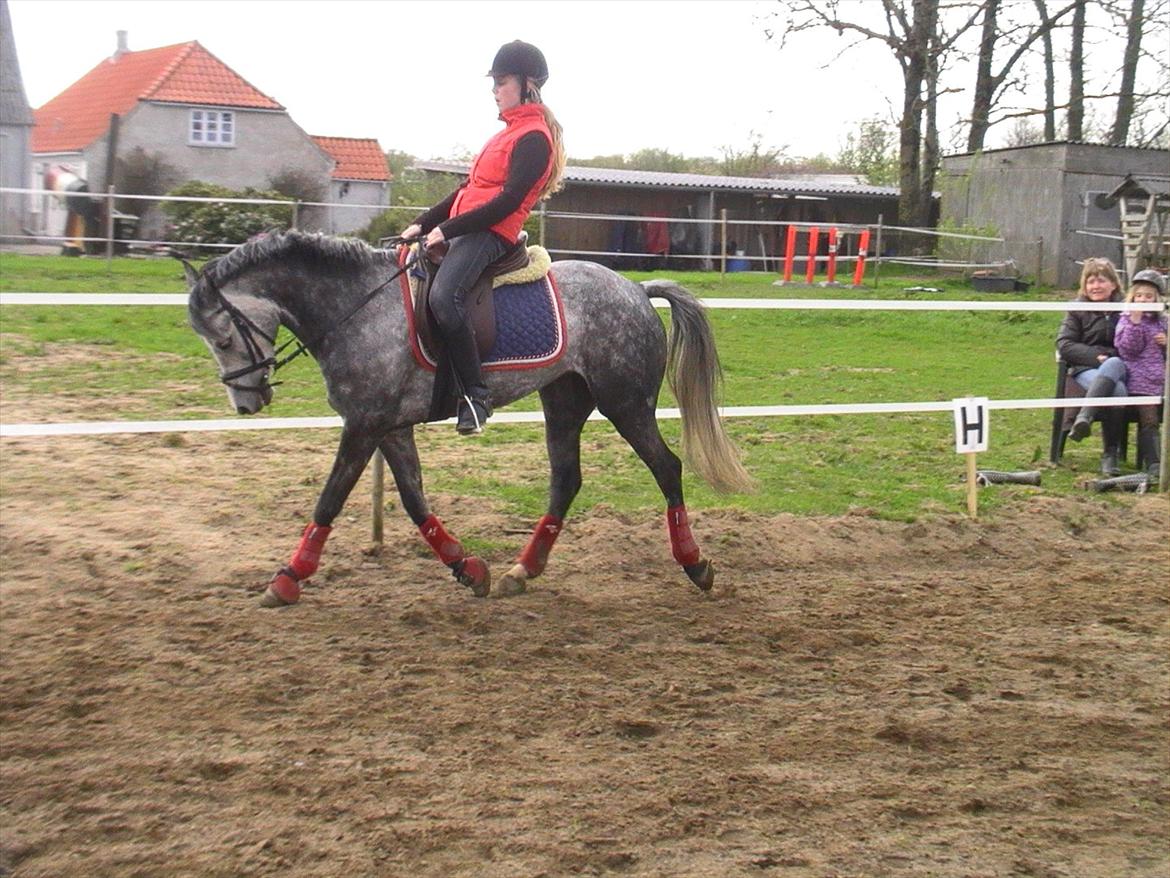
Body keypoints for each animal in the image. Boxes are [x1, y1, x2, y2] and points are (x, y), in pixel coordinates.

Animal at [184, 230, 753, 606]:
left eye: (224, 337)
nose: (246, 404)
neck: (358, 308)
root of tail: (636, 290)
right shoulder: (387, 425)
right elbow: (414, 500)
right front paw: (468, 567)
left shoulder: (364, 424)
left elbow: (330, 499)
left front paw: (288, 577)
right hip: (565, 401)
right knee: (566, 480)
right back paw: (522, 571)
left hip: (625, 403)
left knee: (667, 468)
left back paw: (695, 564)